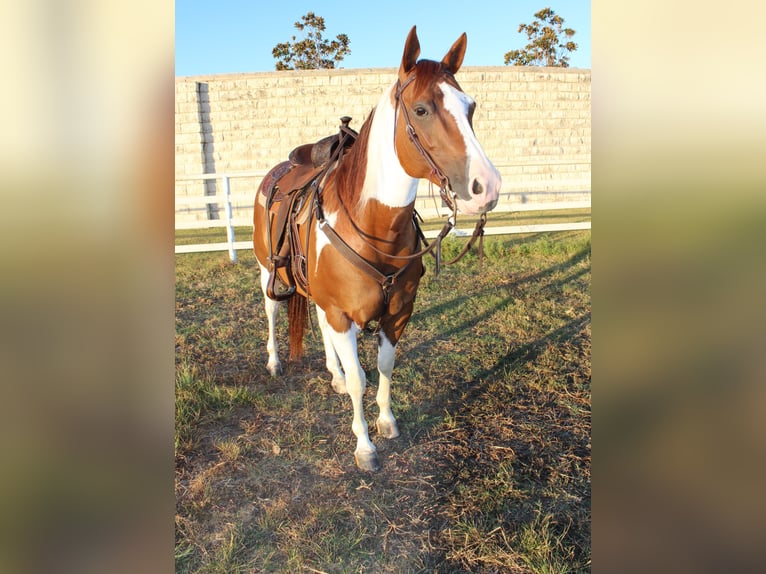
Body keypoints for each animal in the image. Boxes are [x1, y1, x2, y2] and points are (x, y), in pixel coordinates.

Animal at [254, 25, 504, 472]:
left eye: (471, 107)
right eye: (421, 110)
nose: (486, 188)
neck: (374, 228)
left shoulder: (397, 312)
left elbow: (385, 365)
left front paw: (387, 422)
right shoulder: (342, 314)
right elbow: (360, 379)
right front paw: (364, 446)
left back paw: (332, 374)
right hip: (269, 270)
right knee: (270, 311)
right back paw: (275, 362)